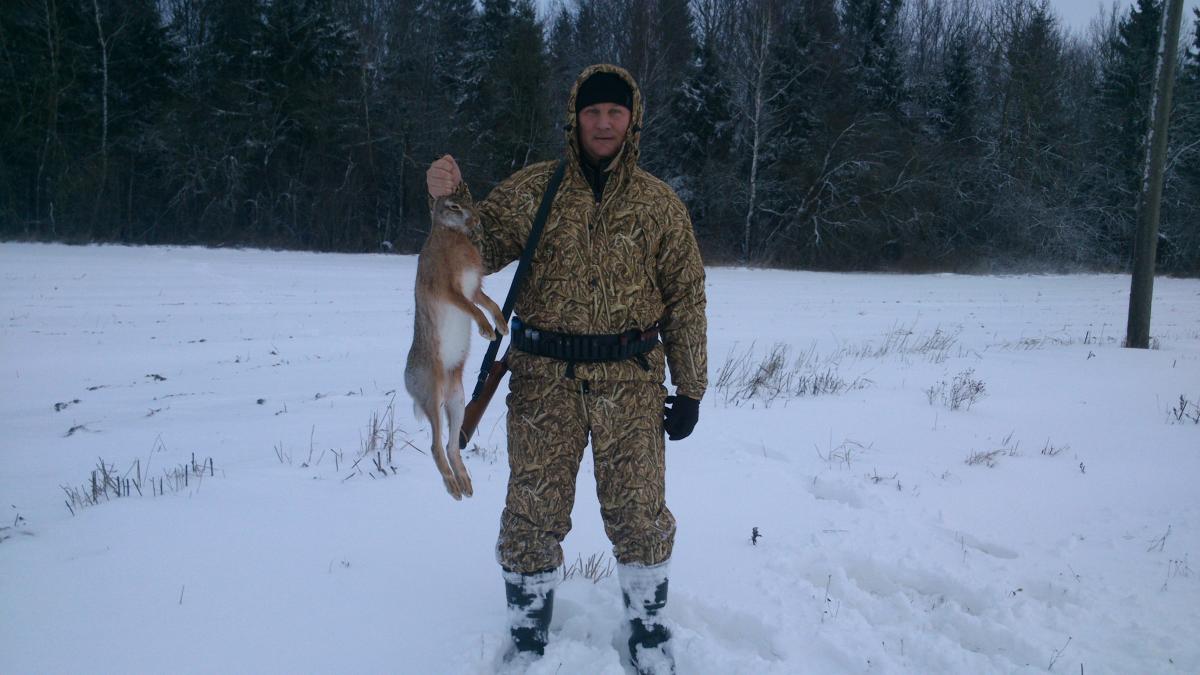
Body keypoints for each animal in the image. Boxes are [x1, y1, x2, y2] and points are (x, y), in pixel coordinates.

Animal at [404, 195, 507, 500]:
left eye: (470, 202)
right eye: (453, 206)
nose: (476, 219)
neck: (450, 233)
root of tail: (407, 381)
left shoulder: (473, 288)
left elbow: (488, 302)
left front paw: (502, 326)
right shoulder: (449, 289)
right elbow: (472, 308)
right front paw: (487, 331)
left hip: (458, 399)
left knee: (451, 446)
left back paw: (464, 484)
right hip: (434, 391)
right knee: (436, 446)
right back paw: (452, 486)